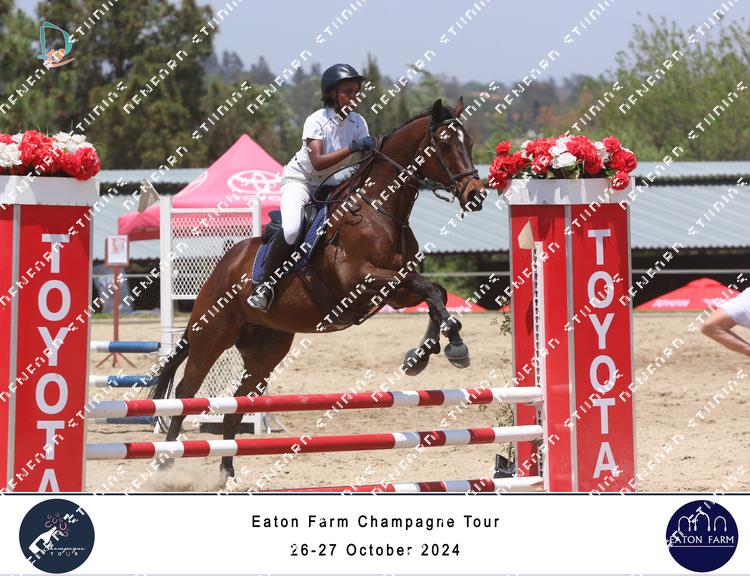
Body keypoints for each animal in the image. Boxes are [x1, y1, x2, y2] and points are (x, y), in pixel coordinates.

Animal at [151, 97, 488, 480]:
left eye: (470, 142)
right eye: (445, 144)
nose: (476, 196)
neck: (381, 208)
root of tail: (222, 266)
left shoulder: (395, 290)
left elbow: (436, 293)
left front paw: (423, 354)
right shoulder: (363, 281)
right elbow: (430, 289)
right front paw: (455, 346)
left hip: (265, 350)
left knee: (237, 403)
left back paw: (226, 471)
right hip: (211, 336)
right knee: (185, 392)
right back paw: (165, 464)